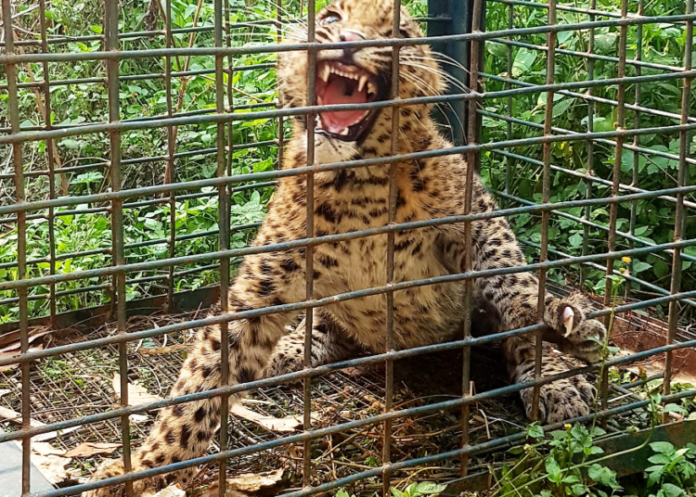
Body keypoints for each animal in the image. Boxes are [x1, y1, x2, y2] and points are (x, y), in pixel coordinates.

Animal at [84, 0, 607, 494]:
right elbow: (205, 375)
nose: (350, 40)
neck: (359, 186)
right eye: (332, 16)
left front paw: (552, 333)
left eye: (397, 32)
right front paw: (144, 468)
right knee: (324, 329)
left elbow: (510, 276)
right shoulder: (265, 279)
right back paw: (289, 351)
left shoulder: (471, 211)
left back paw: (563, 368)